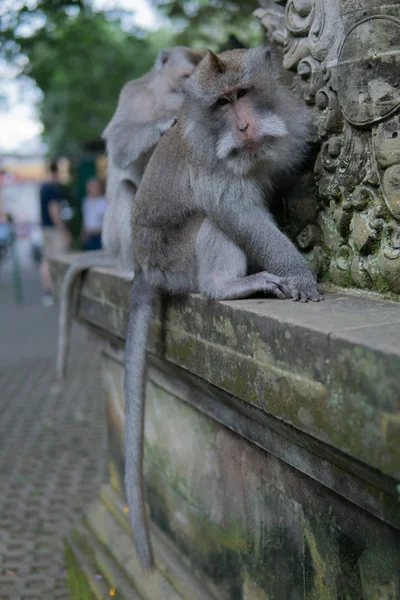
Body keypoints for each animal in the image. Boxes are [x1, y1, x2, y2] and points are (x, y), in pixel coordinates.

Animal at [56, 48, 205, 384]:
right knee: (126, 189)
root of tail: (111, 251)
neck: (161, 94)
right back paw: (129, 266)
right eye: (185, 77)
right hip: (114, 235)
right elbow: (120, 141)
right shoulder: (132, 94)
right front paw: (163, 123)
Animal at [123, 47, 324, 572]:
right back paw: (228, 287)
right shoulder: (212, 167)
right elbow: (236, 212)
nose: (245, 126)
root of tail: (143, 266)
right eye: (221, 103)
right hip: (176, 260)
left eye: (243, 93)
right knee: (211, 223)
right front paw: (297, 272)